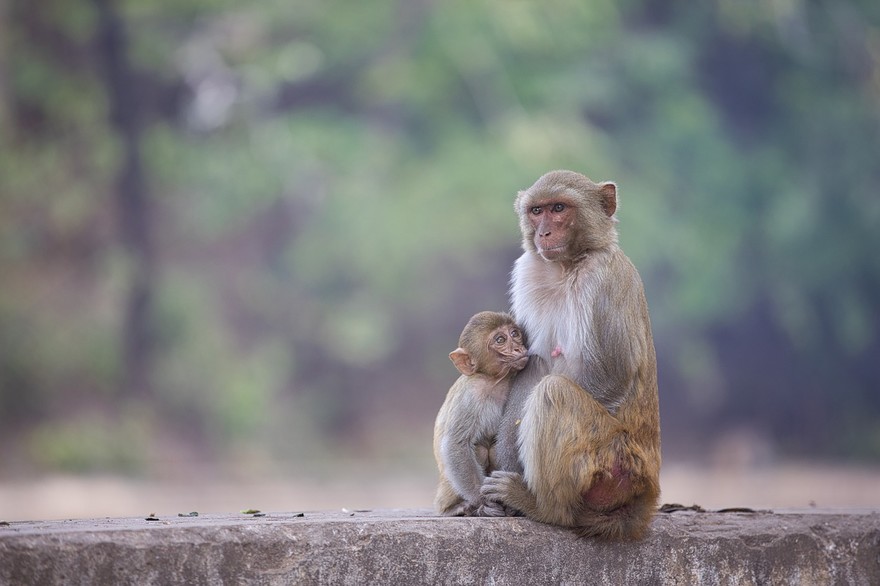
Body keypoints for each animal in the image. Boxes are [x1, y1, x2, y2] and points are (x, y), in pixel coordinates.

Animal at [433, 311, 529, 517]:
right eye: (500, 340)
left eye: (514, 333)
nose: (518, 348)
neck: (495, 381)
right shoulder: (471, 395)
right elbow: (456, 443)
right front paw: (483, 501)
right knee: (479, 449)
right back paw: (455, 508)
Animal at [481, 170, 661, 540]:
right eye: (537, 211)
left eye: (559, 208)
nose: (543, 233)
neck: (568, 266)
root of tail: (645, 491)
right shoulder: (529, 271)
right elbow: (533, 365)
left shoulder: (605, 280)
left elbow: (611, 375)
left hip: (613, 464)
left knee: (554, 394)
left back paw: (545, 508)